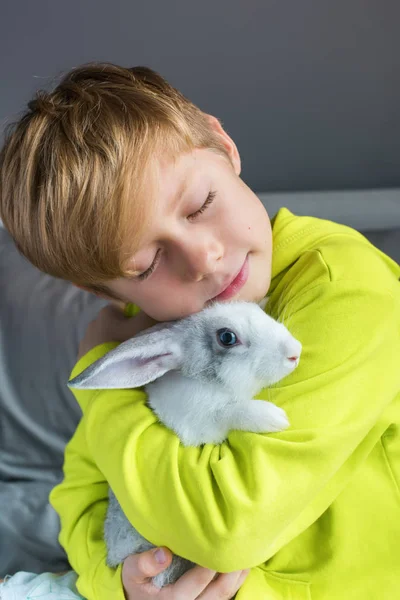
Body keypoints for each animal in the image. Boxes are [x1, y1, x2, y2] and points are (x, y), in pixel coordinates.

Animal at [68, 298, 300, 588]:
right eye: (227, 337)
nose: (295, 352)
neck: (209, 384)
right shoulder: (202, 424)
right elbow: (230, 412)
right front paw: (274, 418)